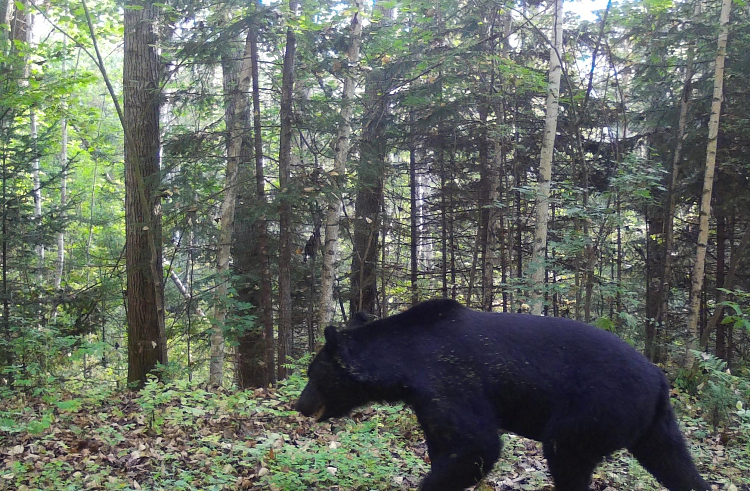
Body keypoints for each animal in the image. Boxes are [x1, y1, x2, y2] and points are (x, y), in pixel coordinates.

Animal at [296, 300, 712, 491]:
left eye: (312, 374)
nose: (299, 405)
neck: (404, 363)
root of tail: (659, 379)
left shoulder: (450, 379)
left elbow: (477, 444)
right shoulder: (427, 400)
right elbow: (446, 444)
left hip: (593, 410)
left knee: (566, 455)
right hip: (654, 425)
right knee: (676, 464)